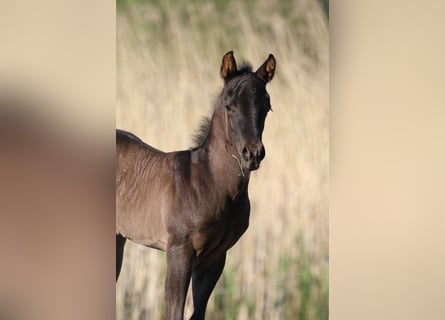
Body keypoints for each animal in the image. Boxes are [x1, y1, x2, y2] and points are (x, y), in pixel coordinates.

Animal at [115, 51, 274, 318]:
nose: (252, 154)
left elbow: (197, 312)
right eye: (229, 105)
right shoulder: (179, 250)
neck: (210, 183)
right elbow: (174, 309)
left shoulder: (216, 258)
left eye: (267, 106)